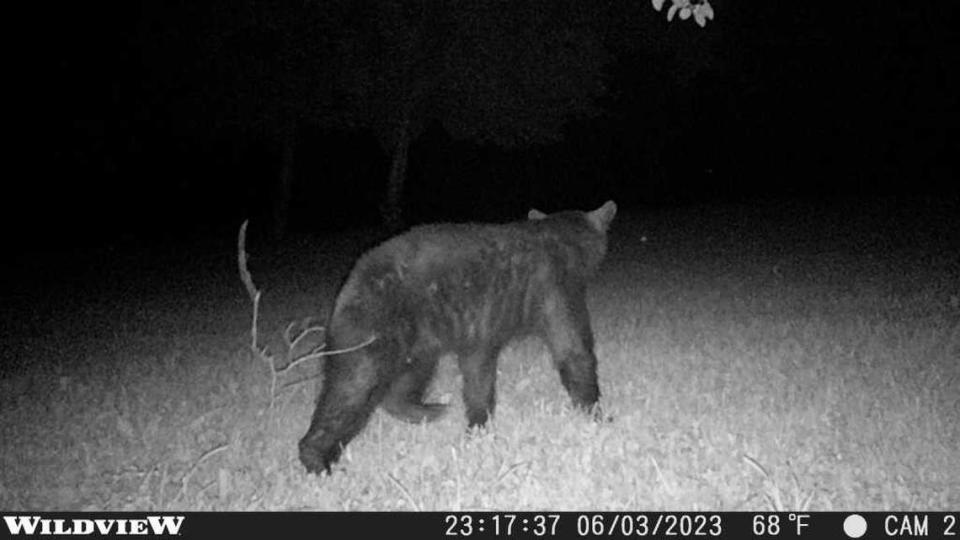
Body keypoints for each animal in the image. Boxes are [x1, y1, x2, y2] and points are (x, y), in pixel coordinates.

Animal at [296, 200, 620, 474]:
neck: (562, 241)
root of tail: (348, 287)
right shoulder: (555, 286)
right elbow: (573, 348)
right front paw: (597, 414)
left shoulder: (481, 327)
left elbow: (478, 371)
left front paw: (477, 427)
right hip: (374, 328)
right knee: (352, 388)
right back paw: (318, 461)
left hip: (418, 338)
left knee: (406, 380)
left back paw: (430, 411)